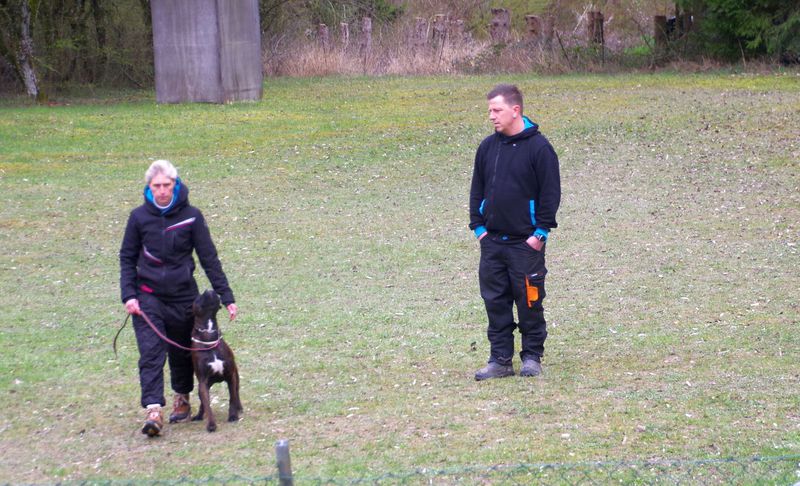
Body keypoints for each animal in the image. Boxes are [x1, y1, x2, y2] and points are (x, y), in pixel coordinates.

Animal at [190, 289, 242, 432]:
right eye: (198, 297)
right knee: (203, 403)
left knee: (237, 393)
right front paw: (211, 424)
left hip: (236, 377)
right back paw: (199, 415)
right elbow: (207, 406)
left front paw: (233, 416)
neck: (208, 334)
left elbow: (232, 398)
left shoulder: (231, 375)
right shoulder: (203, 382)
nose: (208, 289)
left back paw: (239, 408)